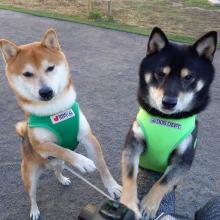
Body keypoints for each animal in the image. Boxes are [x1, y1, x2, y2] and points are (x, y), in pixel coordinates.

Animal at [0, 29, 121, 220]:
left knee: (57, 168)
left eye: (50, 68)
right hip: (30, 176)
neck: (55, 111)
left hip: (58, 163)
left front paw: (113, 187)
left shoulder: (88, 137)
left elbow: (102, 164)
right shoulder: (40, 145)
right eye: (27, 74)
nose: (45, 92)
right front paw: (82, 162)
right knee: (32, 195)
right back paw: (34, 210)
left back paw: (62, 178)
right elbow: (61, 149)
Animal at [120, 27, 218, 218]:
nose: (169, 102)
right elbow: (129, 175)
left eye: (189, 77)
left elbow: (163, 182)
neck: (166, 119)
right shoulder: (133, 144)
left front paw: (149, 206)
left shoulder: (183, 160)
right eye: (160, 73)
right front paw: (127, 202)